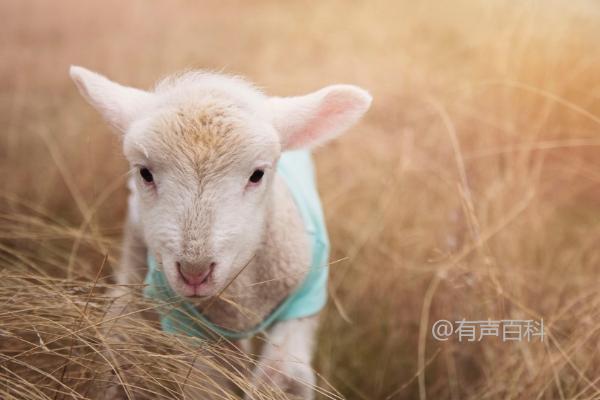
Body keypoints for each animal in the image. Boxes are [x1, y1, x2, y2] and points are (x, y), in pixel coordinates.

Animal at [69, 65, 370, 396]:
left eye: (257, 174)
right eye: (145, 173)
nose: (194, 272)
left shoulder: (303, 303)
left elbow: (283, 380)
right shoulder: (189, 325)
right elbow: (206, 384)